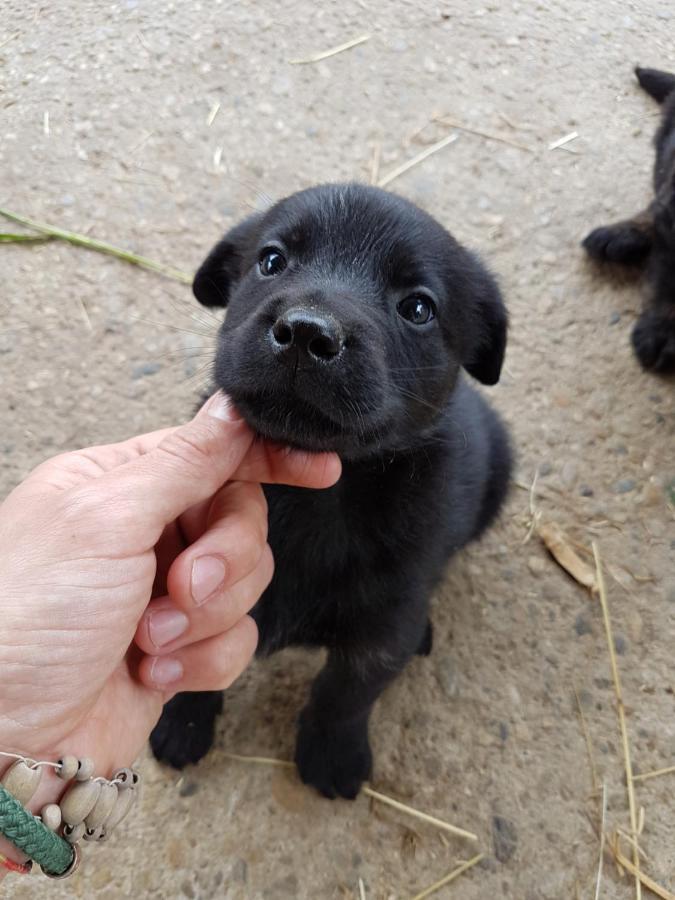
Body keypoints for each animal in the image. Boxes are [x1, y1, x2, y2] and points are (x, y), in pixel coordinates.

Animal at [152, 181, 512, 796]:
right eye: (272, 261)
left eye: (418, 308)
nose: (305, 332)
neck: (314, 499)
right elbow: (198, 665)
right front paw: (183, 722)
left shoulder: (384, 627)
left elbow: (344, 695)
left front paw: (333, 755)